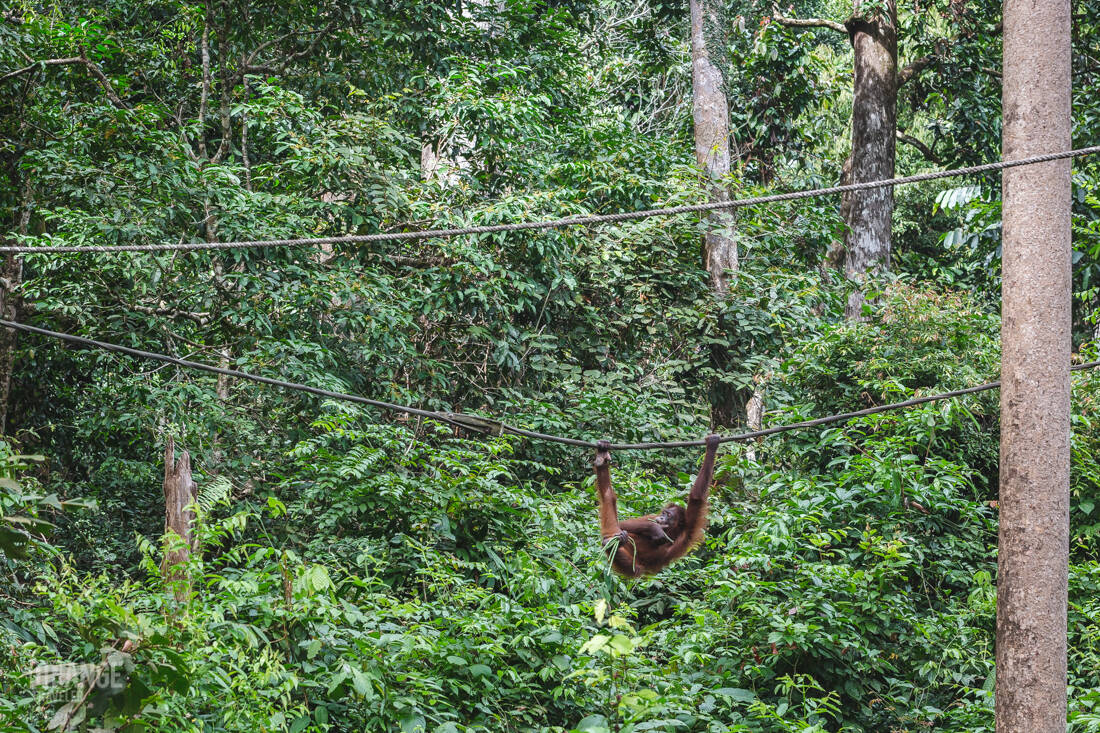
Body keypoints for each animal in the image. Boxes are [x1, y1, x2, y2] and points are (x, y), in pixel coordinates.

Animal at [593, 434, 720, 577]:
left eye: (669, 515)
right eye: (664, 513)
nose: (662, 518)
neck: (672, 530)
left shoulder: (689, 528)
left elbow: (696, 497)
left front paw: (712, 446)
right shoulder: (653, 517)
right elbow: (624, 524)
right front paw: (655, 529)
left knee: (634, 566)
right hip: (614, 533)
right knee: (611, 503)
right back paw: (602, 457)